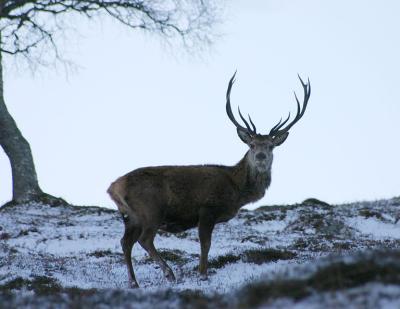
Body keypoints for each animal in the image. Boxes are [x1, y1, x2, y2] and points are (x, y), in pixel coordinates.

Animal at [108, 72, 310, 286]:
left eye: (271, 146)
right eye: (252, 145)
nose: (261, 157)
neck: (237, 190)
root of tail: (113, 187)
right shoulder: (207, 209)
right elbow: (206, 244)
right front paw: (203, 274)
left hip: (130, 217)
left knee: (125, 242)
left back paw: (134, 282)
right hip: (151, 210)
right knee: (144, 239)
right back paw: (169, 273)